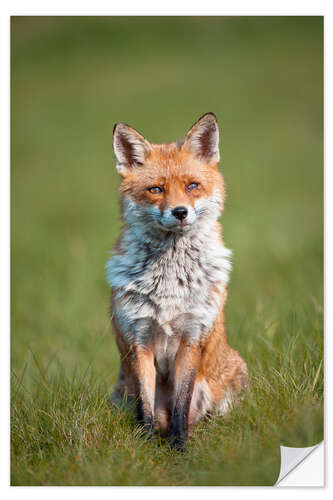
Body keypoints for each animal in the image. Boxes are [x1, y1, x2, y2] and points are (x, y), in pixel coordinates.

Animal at [106, 113, 246, 450]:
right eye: (156, 189)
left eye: (192, 186)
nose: (180, 212)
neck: (170, 282)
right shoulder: (139, 341)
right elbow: (145, 408)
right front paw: (145, 448)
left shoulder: (192, 337)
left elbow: (181, 407)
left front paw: (180, 448)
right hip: (120, 394)